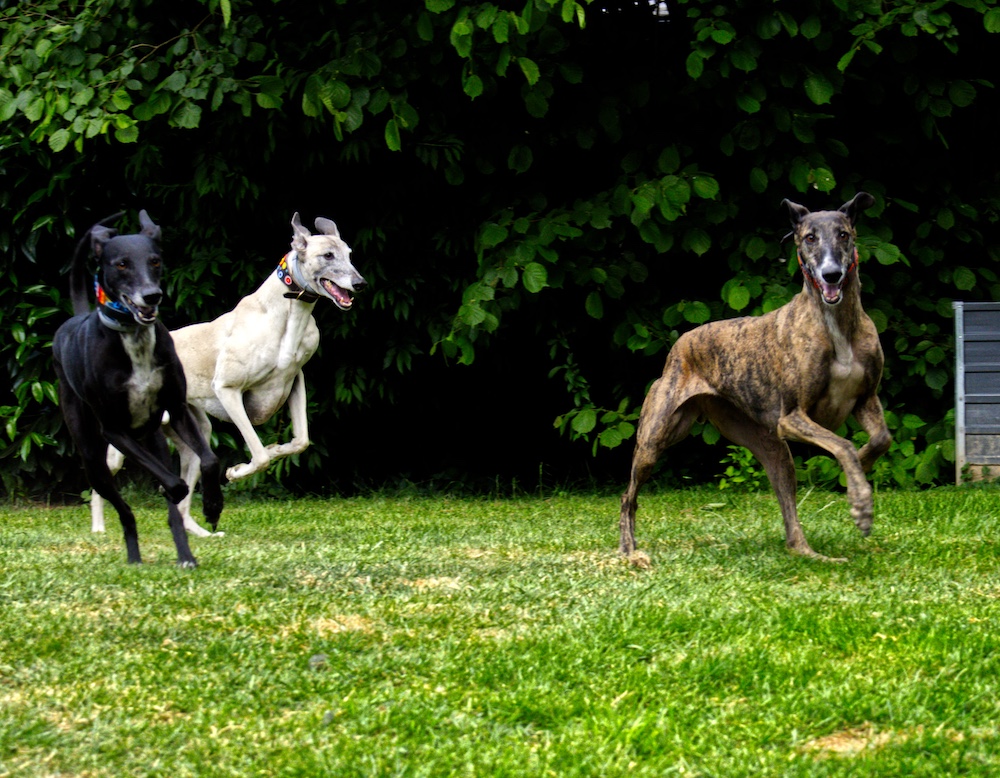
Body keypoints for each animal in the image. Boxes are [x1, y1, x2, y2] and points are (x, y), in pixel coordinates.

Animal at [52, 211, 222, 566]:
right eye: (121, 264)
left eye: (155, 260)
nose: (151, 295)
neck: (133, 335)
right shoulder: (114, 431)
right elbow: (173, 484)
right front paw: (179, 491)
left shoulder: (177, 409)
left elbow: (210, 460)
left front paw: (213, 506)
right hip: (93, 459)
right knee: (124, 509)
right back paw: (134, 555)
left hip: (153, 437)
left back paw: (185, 556)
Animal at [90, 212, 366, 536]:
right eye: (327, 255)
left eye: (349, 254)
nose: (360, 284)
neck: (286, 311)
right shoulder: (228, 389)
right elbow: (258, 455)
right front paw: (236, 471)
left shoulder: (295, 381)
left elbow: (300, 441)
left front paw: (275, 447)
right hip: (121, 444)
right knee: (101, 479)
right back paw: (98, 528)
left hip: (195, 433)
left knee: (184, 496)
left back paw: (202, 534)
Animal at [619, 192, 892, 563]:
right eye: (809, 237)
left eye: (844, 234)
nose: (832, 275)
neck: (834, 323)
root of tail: (680, 344)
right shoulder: (792, 417)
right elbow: (844, 445)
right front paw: (861, 503)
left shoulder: (865, 399)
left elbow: (881, 439)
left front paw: (861, 469)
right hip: (655, 437)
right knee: (627, 496)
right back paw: (629, 551)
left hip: (773, 450)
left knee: (791, 525)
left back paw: (812, 554)